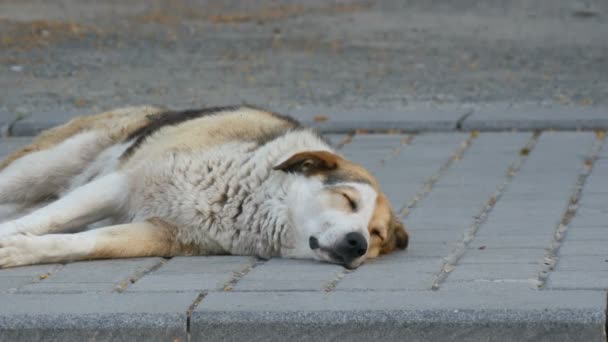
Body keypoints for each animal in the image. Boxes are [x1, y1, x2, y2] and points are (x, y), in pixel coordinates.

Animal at [1, 105, 408, 268]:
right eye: (347, 199)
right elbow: (45, 221)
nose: (357, 244)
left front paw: (20, 251)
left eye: (376, 234)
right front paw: (9, 239)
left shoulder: (159, 234)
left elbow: (81, 241)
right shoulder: (117, 185)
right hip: (40, 168)